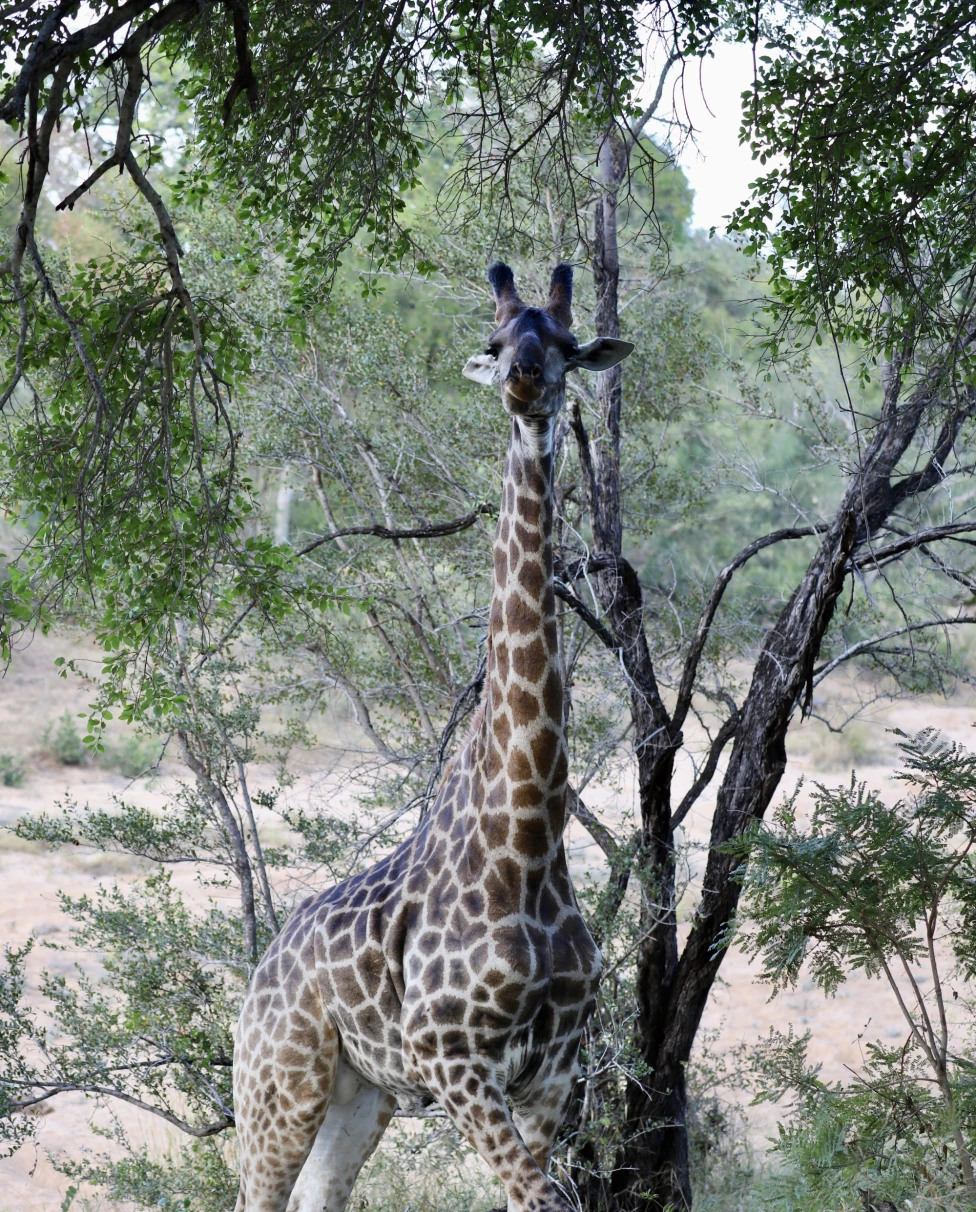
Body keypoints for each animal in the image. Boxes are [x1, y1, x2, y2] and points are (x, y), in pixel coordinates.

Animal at [232, 262, 635, 1212]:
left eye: (565, 344)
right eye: (497, 340)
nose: (525, 379)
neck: (527, 833)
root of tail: (255, 980)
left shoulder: (551, 1071)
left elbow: (536, 1200)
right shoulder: (454, 1060)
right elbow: (544, 1199)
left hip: (361, 1093)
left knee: (319, 1195)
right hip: (280, 1084)